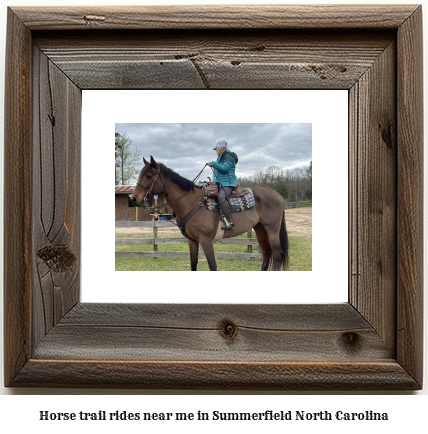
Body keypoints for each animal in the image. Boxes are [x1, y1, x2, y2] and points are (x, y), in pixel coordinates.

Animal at [130, 156, 288, 272]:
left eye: (149, 176)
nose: (133, 198)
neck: (191, 202)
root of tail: (278, 196)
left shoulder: (205, 240)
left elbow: (212, 266)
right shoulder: (192, 241)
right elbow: (193, 264)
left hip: (272, 229)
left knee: (277, 254)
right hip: (260, 228)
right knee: (266, 254)